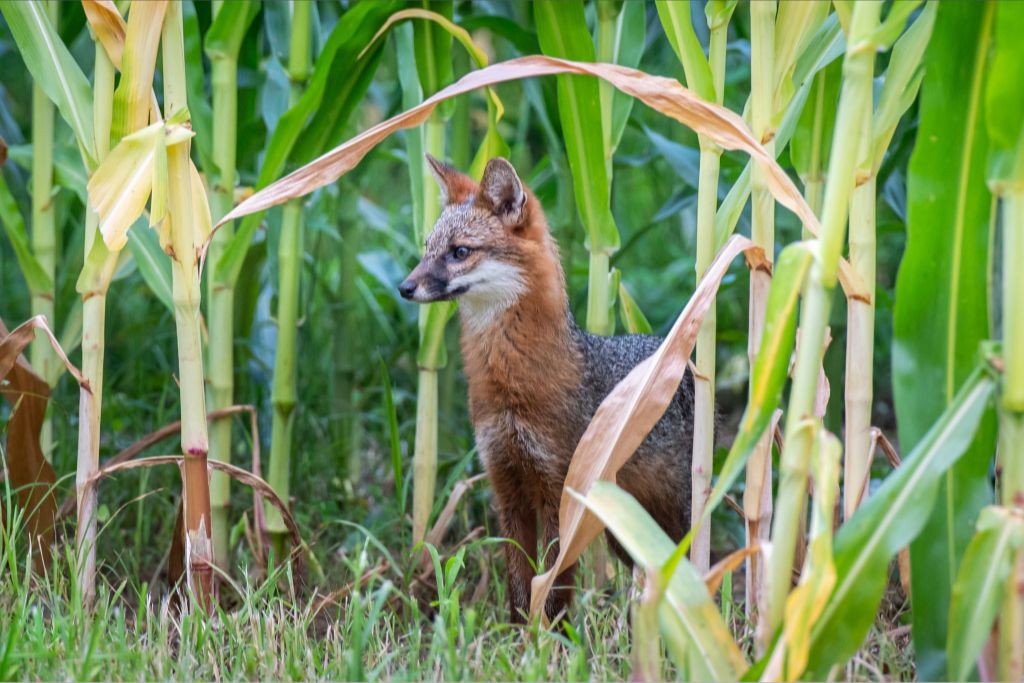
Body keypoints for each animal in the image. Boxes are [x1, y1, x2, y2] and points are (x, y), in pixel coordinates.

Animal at [399, 154, 696, 626]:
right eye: (427, 249)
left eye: (459, 252)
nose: (405, 287)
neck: (508, 388)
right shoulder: (507, 485)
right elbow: (520, 580)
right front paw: (521, 633)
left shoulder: (559, 488)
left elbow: (555, 580)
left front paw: (552, 634)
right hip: (622, 531)